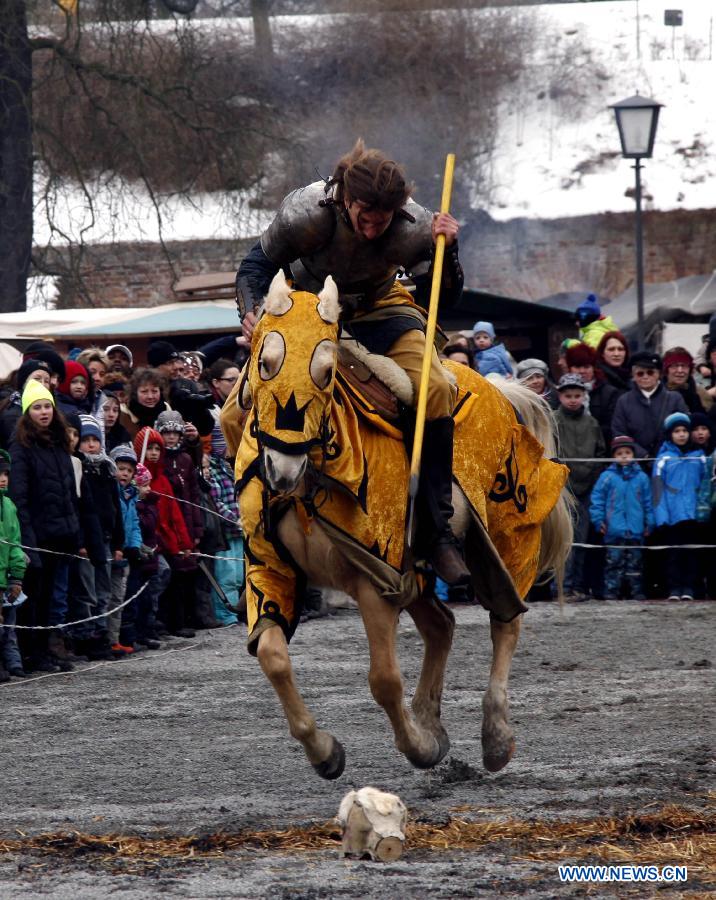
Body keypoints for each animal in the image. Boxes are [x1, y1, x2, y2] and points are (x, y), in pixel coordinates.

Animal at [229, 268, 572, 780]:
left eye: (326, 373)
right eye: (263, 362)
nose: (281, 472)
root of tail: (501, 390)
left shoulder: (379, 579)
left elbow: (384, 679)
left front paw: (420, 747)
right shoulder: (270, 566)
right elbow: (272, 657)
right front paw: (325, 752)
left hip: (508, 540)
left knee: (505, 623)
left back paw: (495, 736)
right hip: (421, 570)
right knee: (442, 626)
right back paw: (431, 718)